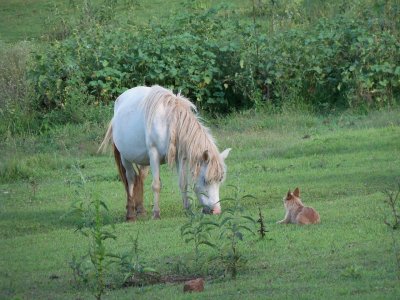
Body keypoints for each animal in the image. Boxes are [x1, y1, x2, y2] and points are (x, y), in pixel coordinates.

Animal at [97, 84, 231, 220]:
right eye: (205, 180)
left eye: (219, 180)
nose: (216, 211)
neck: (170, 122)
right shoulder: (154, 154)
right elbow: (156, 185)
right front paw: (156, 214)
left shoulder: (180, 158)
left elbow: (183, 183)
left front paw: (188, 210)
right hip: (126, 157)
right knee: (130, 179)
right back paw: (130, 213)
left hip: (143, 161)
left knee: (140, 178)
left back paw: (140, 210)